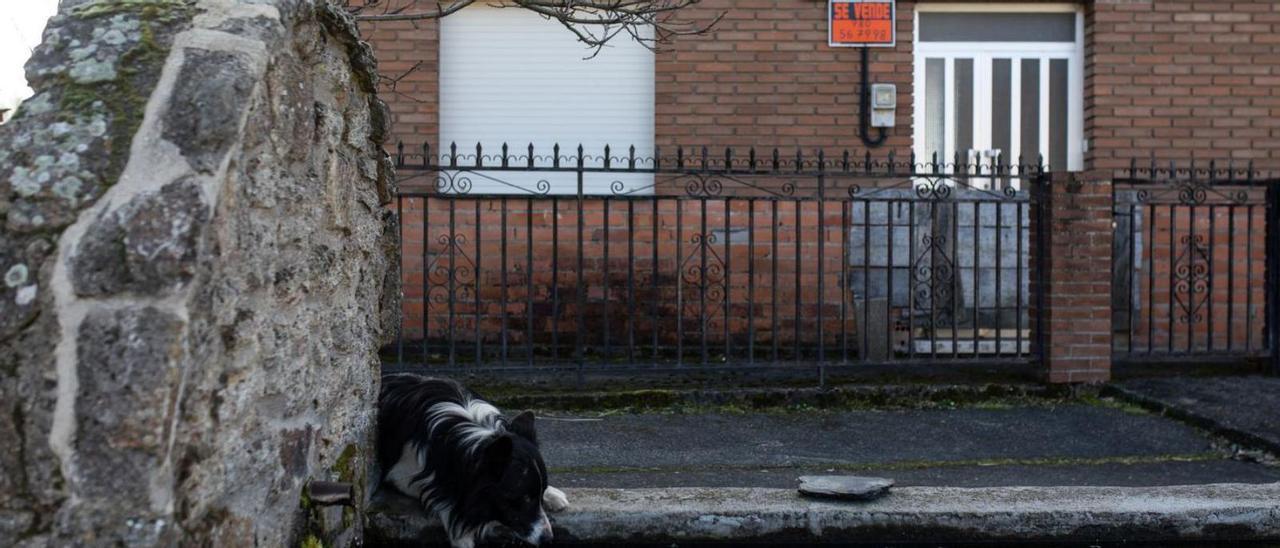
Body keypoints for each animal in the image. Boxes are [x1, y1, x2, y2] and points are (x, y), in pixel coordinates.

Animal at [373, 373, 565, 545]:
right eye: (523, 498)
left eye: (539, 494)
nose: (548, 539)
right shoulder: (400, 474)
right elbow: (440, 495)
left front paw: (552, 494)